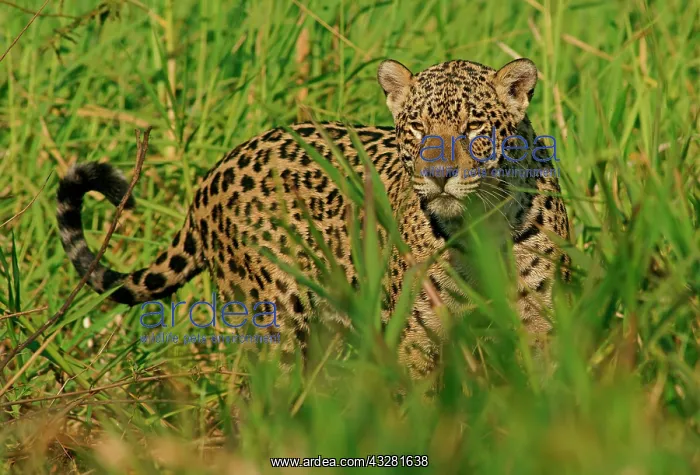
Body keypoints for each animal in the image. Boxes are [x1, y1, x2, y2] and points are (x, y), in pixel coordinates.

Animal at [56, 57, 571, 379]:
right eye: (416, 129)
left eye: (474, 129)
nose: (438, 176)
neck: (483, 222)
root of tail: (212, 177)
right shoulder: (419, 335)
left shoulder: (542, 322)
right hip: (274, 320)